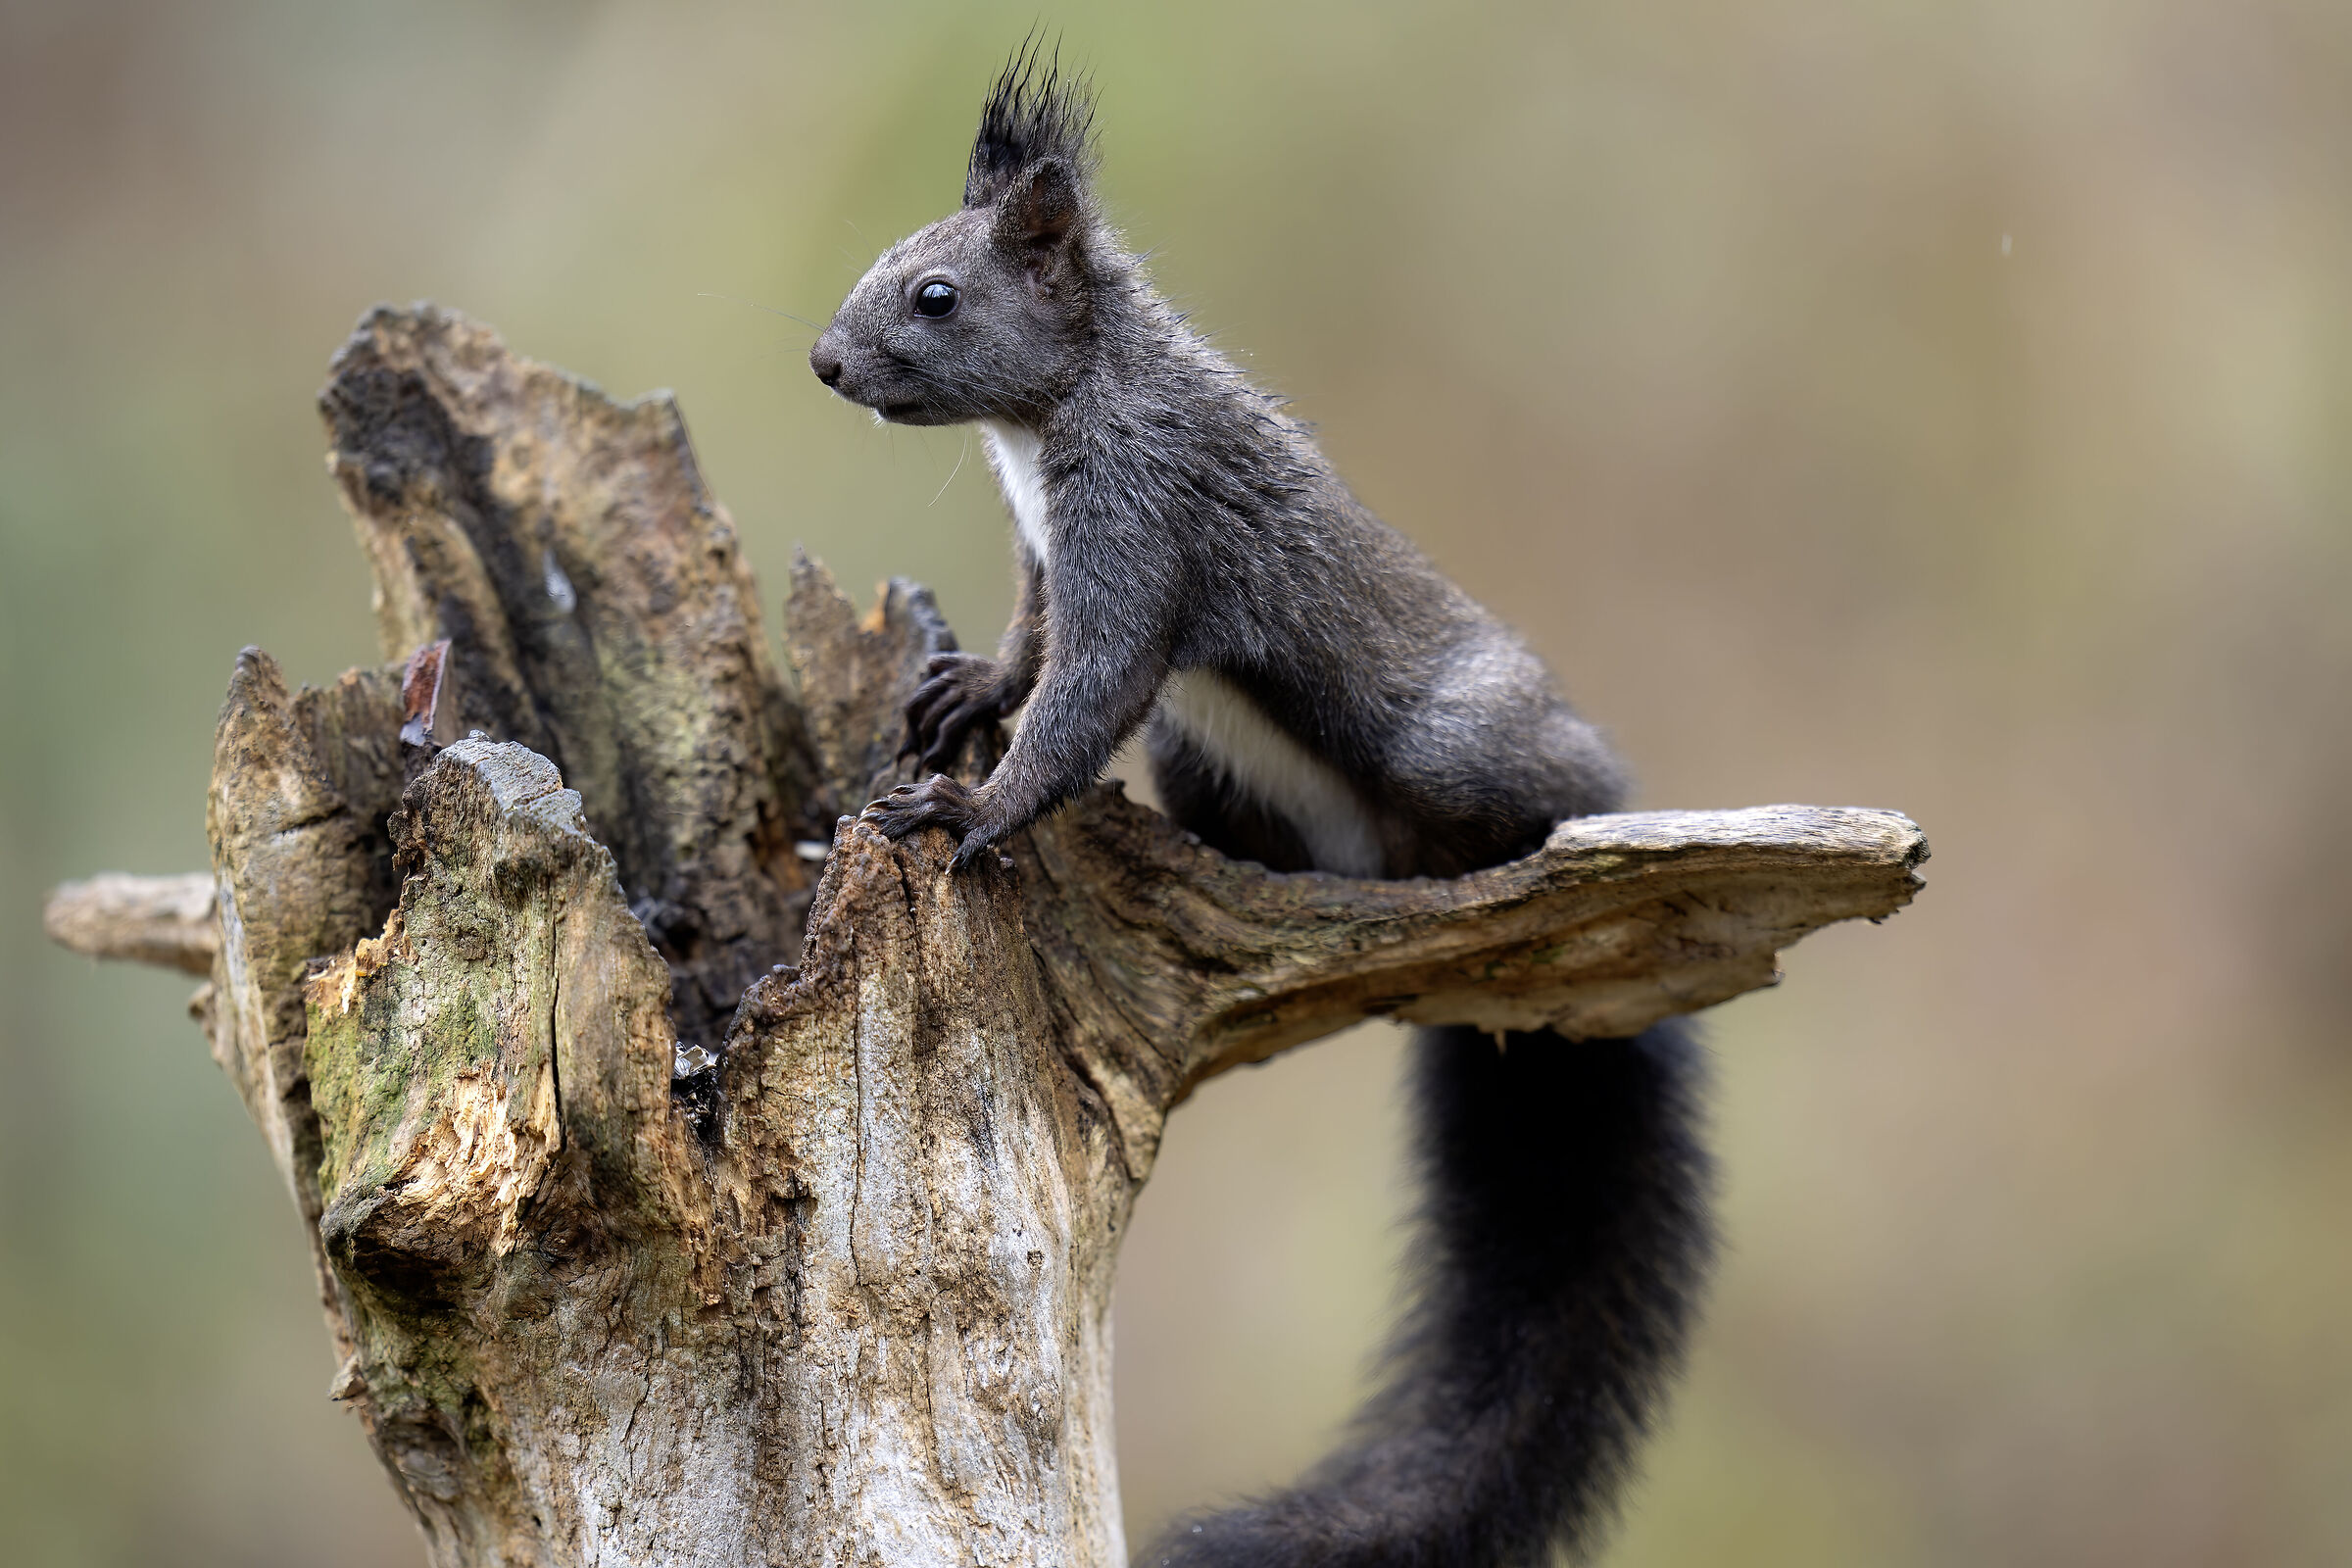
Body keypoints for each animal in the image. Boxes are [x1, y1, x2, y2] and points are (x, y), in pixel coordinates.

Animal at [810, 49, 1715, 1568]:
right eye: (883, 260)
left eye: (935, 295)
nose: (824, 364)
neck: (1056, 408)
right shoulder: (1049, 561)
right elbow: (1034, 645)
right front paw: (966, 692)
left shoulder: (1139, 517)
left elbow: (1087, 692)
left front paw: (974, 811)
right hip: (1210, 763)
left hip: (1460, 748)